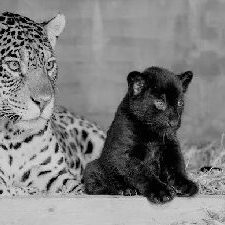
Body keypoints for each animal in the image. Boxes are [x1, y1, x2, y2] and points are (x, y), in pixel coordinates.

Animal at [0, 11, 105, 196]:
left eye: (49, 65)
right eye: (13, 65)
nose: (44, 101)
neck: (11, 136)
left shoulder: (50, 172)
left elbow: (75, 189)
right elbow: (17, 191)